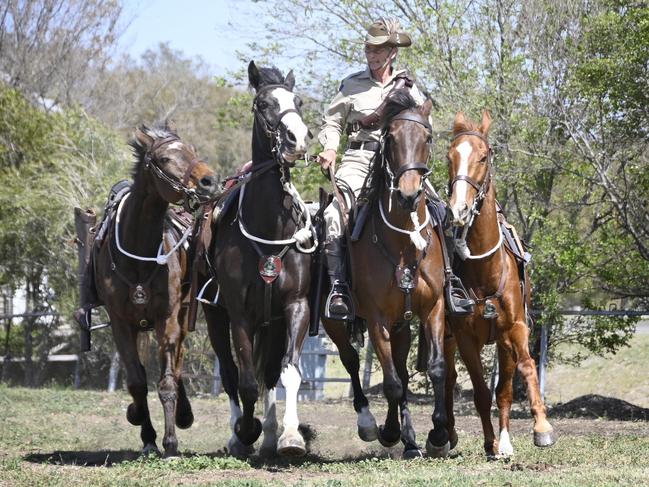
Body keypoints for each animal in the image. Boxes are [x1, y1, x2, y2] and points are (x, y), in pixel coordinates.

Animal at [92, 124, 218, 460]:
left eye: (191, 150)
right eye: (164, 158)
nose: (209, 181)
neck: (138, 254)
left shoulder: (168, 319)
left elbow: (167, 382)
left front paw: (171, 443)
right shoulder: (121, 324)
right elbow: (137, 382)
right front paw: (146, 434)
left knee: (177, 365)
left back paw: (183, 414)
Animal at [201, 61, 316, 458]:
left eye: (298, 101)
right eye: (263, 103)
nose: (297, 138)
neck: (269, 224)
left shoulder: (295, 307)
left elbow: (288, 372)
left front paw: (291, 436)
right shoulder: (239, 315)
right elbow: (246, 381)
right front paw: (245, 430)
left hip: (272, 324)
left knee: (268, 375)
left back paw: (268, 434)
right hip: (216, 317)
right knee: (231, 374)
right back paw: (242, 433)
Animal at [320, 92, 450, 462]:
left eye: (427, 137)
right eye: (389, 139)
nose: (408, 194)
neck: (403, 243)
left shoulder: (432, 309)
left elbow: (434, 369)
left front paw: (437, 435)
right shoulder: (377, 319)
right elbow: (390, 382)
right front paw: (389, 432)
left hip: (401, 324)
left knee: (403, 371)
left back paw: (410, 440)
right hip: (335, 321)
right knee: (351, 360)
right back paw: (370, 423)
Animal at [446, 110, 556, 458]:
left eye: (483, 156)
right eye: (450, 156)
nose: (459, 209)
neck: (486, 269)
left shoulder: (515, 329)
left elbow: (524, 371)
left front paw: (541, 428)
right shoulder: (465, 337)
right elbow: (481, 392)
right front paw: (489, 443)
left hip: (504, 342)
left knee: (506, 385)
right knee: (447, 378)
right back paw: (447, 434)